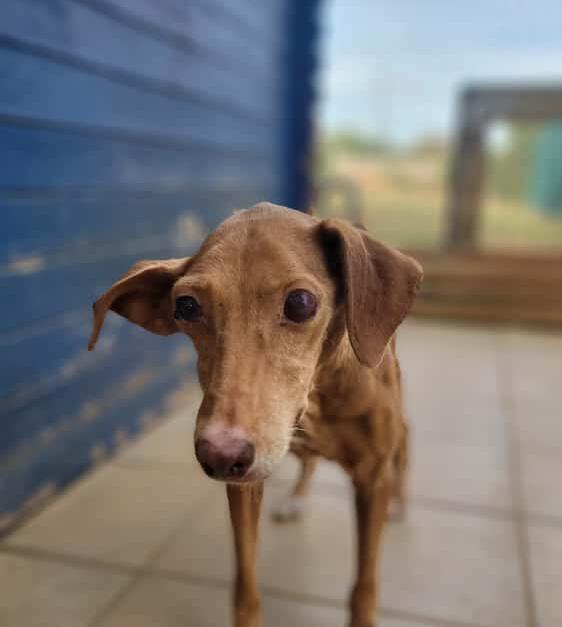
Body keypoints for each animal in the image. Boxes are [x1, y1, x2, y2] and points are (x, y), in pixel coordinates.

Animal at [88, 202, 423, 627]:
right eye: (185, 306)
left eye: (300, 302)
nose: (220, 456)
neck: (316, 398)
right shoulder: (244, 487)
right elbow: (246, 585)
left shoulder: (371, 477)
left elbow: (364, 588)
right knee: (308, 462)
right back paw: (297, 498)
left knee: (405, 445)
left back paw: (399, 502)